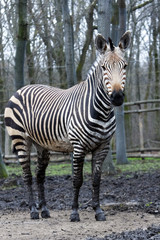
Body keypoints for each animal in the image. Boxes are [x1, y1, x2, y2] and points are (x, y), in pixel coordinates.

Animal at [4, 31, 131, 222]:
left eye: (124, 66)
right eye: (103, 67)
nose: (116, 97)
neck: (101, 111)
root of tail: (22, 89)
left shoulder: (103, 147)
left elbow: (96, 180)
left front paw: (98, 211)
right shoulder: (78, 147)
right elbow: (77, 180)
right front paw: (74, 212)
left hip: (41, 144)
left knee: (39, 175)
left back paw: (44, 210)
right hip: (21, 140)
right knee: (27, 176)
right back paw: (33, 210)